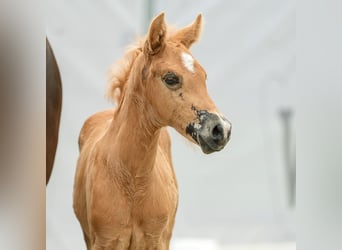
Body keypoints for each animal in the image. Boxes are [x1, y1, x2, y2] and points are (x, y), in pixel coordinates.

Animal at [73, 12, 231, 249]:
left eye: (204, 76)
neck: (133, 182)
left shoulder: (155, 240)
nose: (221, 129)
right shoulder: (105, 241)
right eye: (171, 78)